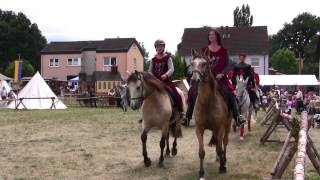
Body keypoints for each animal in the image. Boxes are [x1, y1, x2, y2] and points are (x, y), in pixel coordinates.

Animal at [190, 48, 232, 179]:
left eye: (204, 64)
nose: (194, 80)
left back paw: (224, 160)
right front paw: (201, 173)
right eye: (192, 63)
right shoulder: (199, 129)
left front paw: (222, 168)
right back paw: (219, 159)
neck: (207, 102)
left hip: (227, 127)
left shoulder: (219, 128)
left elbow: (219, 148)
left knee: (224, 143)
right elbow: (201, 152)